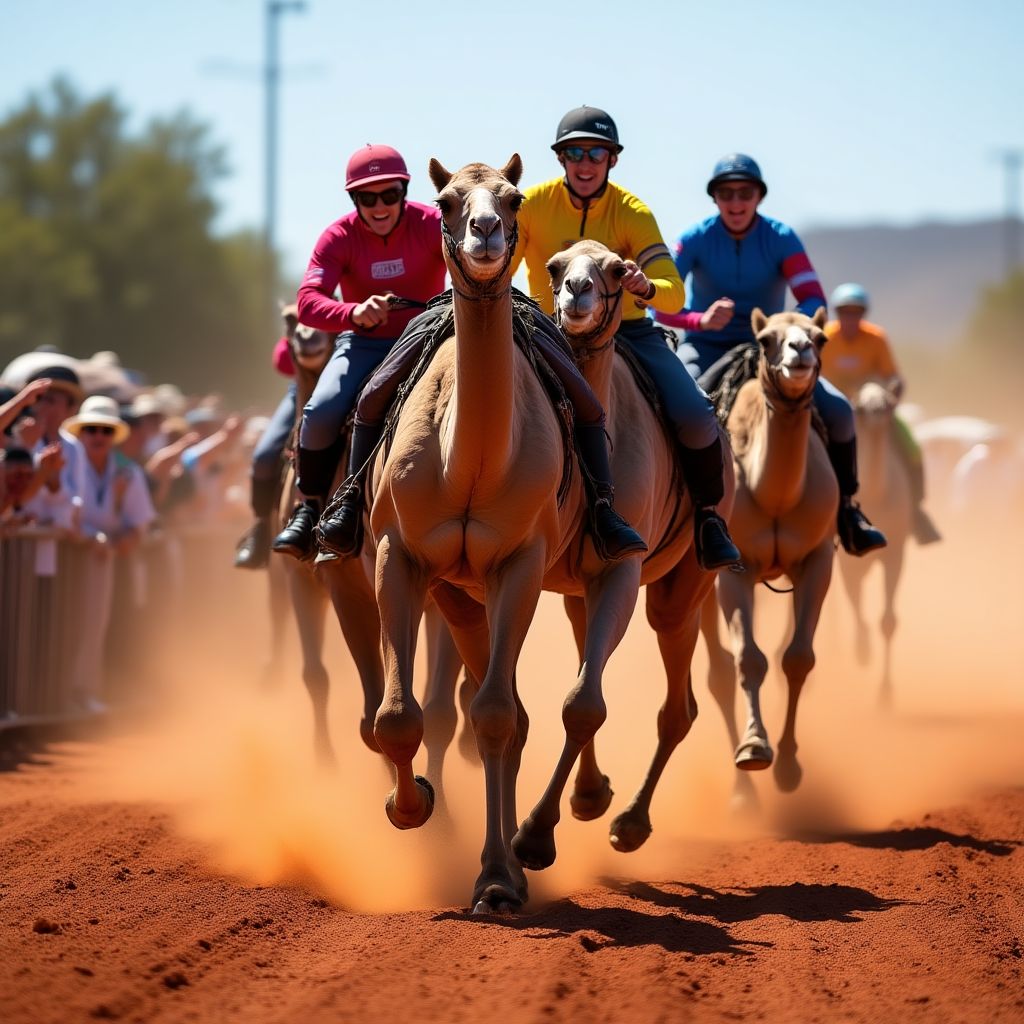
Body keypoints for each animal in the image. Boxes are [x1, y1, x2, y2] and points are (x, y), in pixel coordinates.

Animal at [368, 155, 593, 914]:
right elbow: (396, 715)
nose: (486, 232)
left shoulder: (518, 563)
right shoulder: (399, 555)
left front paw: (496, 878)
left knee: (507, 712)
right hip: (457, 595)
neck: (466, 462)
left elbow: (496, 715)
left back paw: (518, 864)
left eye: (513, 195)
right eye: (445, 200)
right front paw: (408, 806)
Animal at [510, 240, 734, 864]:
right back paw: (593, 795)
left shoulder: (622, 569)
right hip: (578, 595)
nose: (576, 292)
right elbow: (577, 693)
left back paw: (631, 821)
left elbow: (584, 703)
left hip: (683, 587)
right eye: (556, 266)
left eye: (616, 269)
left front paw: (534, 835)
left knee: (678, 708)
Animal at [701, 308, 838, 800]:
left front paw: (790, 766)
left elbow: (796, 658)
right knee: (719, 672)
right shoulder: (734, 570)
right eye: (766, 340)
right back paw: (742, 794)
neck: (773, 493)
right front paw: (756, 748)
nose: (800, 351)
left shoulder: (818, 560)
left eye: (820, 336)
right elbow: (749, 659)